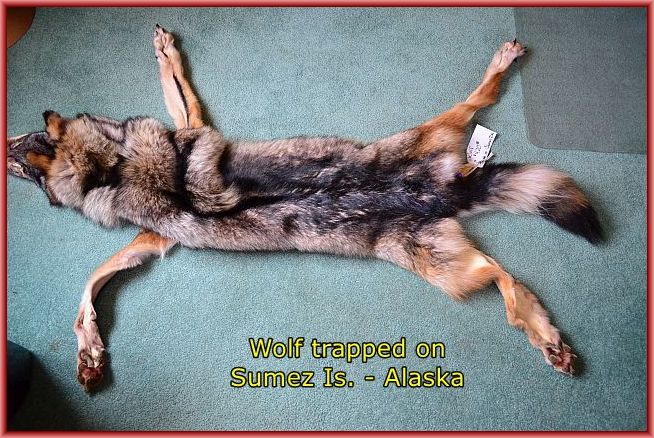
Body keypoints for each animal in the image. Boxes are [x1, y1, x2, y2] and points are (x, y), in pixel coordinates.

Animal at [7, 26, 603, 391]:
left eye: (20, 151)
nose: (4, 143)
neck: (114, 166)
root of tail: (445, 190)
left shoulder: (178, 163)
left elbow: (89, 279)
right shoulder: (160, 226)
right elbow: (92, 282)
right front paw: (90, 350)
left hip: (449, 232)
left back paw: (545, 335)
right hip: (447, 258)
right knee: (503, 272)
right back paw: (547, 335)